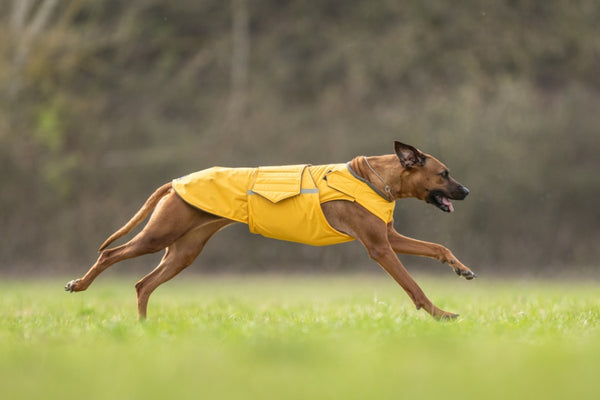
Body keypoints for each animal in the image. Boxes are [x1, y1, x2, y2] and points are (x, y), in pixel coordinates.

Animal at [65, 142, 476, 320]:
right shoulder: (379, 247)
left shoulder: (390, 238)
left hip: (185, 250)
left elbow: (438, 247)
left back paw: (143, 328)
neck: (376, 179)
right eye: (444, 173)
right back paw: (79, 285)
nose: (467, 191)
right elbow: (413, 286)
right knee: (110, 254)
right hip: (160, 235)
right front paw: (440, 314)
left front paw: (461, 268)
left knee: (143, 284)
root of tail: (176, 182)